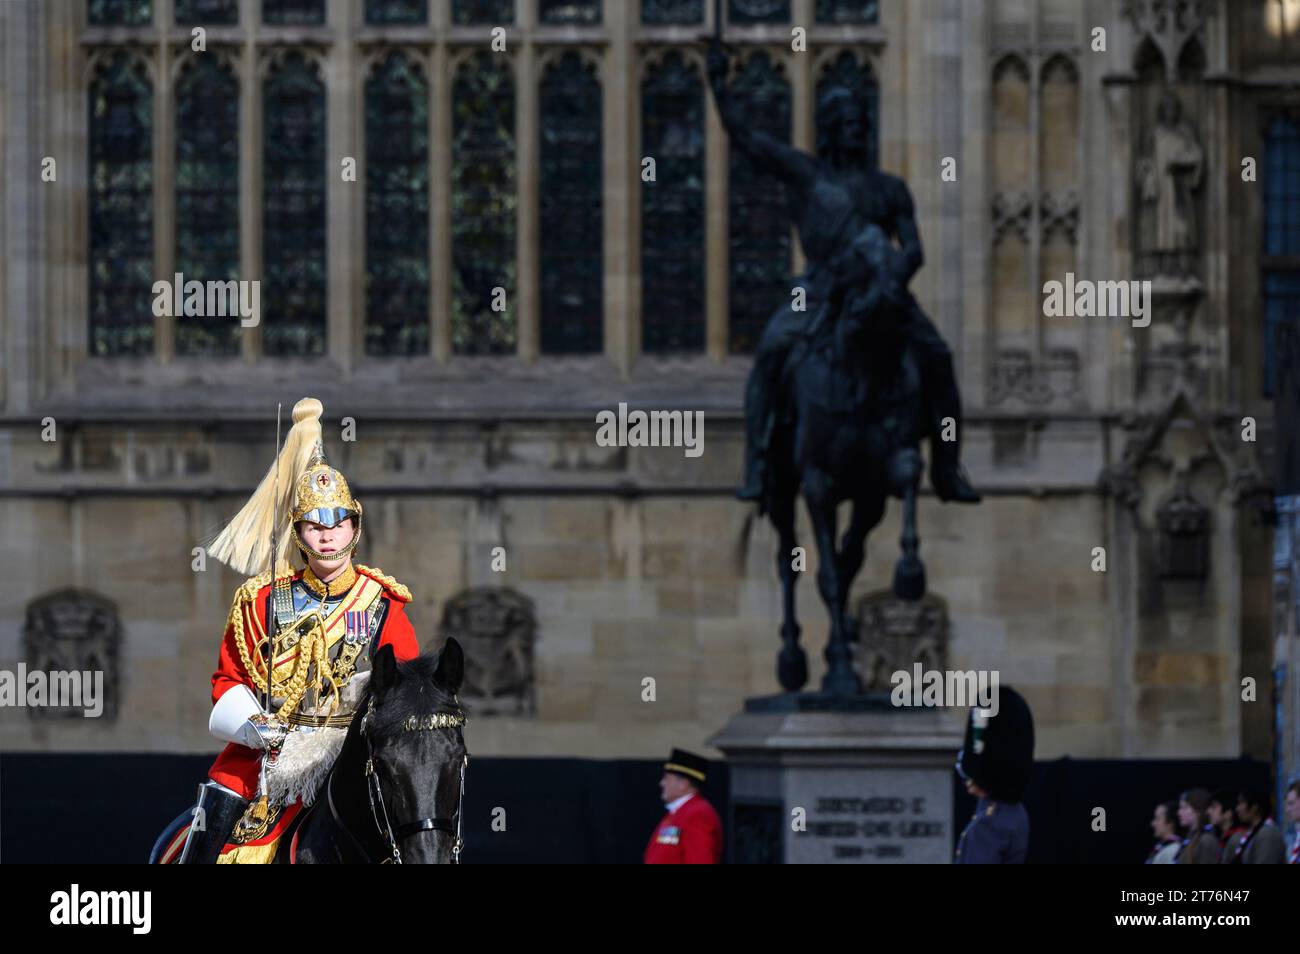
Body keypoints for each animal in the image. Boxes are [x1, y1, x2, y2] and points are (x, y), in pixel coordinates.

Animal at [764, 280, 930, 696]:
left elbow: (906, 478)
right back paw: (792, 659)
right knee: (787, 561)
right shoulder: (818, 482)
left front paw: (909, 571)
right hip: (779, 492)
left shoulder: (873, 489)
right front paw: (839, 667)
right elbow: (827, 575)